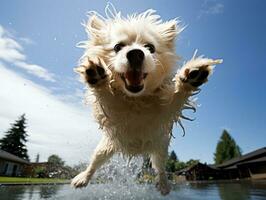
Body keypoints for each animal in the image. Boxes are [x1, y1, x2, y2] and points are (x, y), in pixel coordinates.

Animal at [71, 5, 222, 195]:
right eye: (118, 47)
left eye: (150, 48)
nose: (136, 54)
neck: (136, 99)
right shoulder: (112, 110)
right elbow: (106, 94)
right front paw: (98, 78)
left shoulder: (164, 112)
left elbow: (176, 96)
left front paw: (189, 77)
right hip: (106, 146)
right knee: (95, 162)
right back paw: (83, 178)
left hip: (159, 147)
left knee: (160, 167)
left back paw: (164, 185)